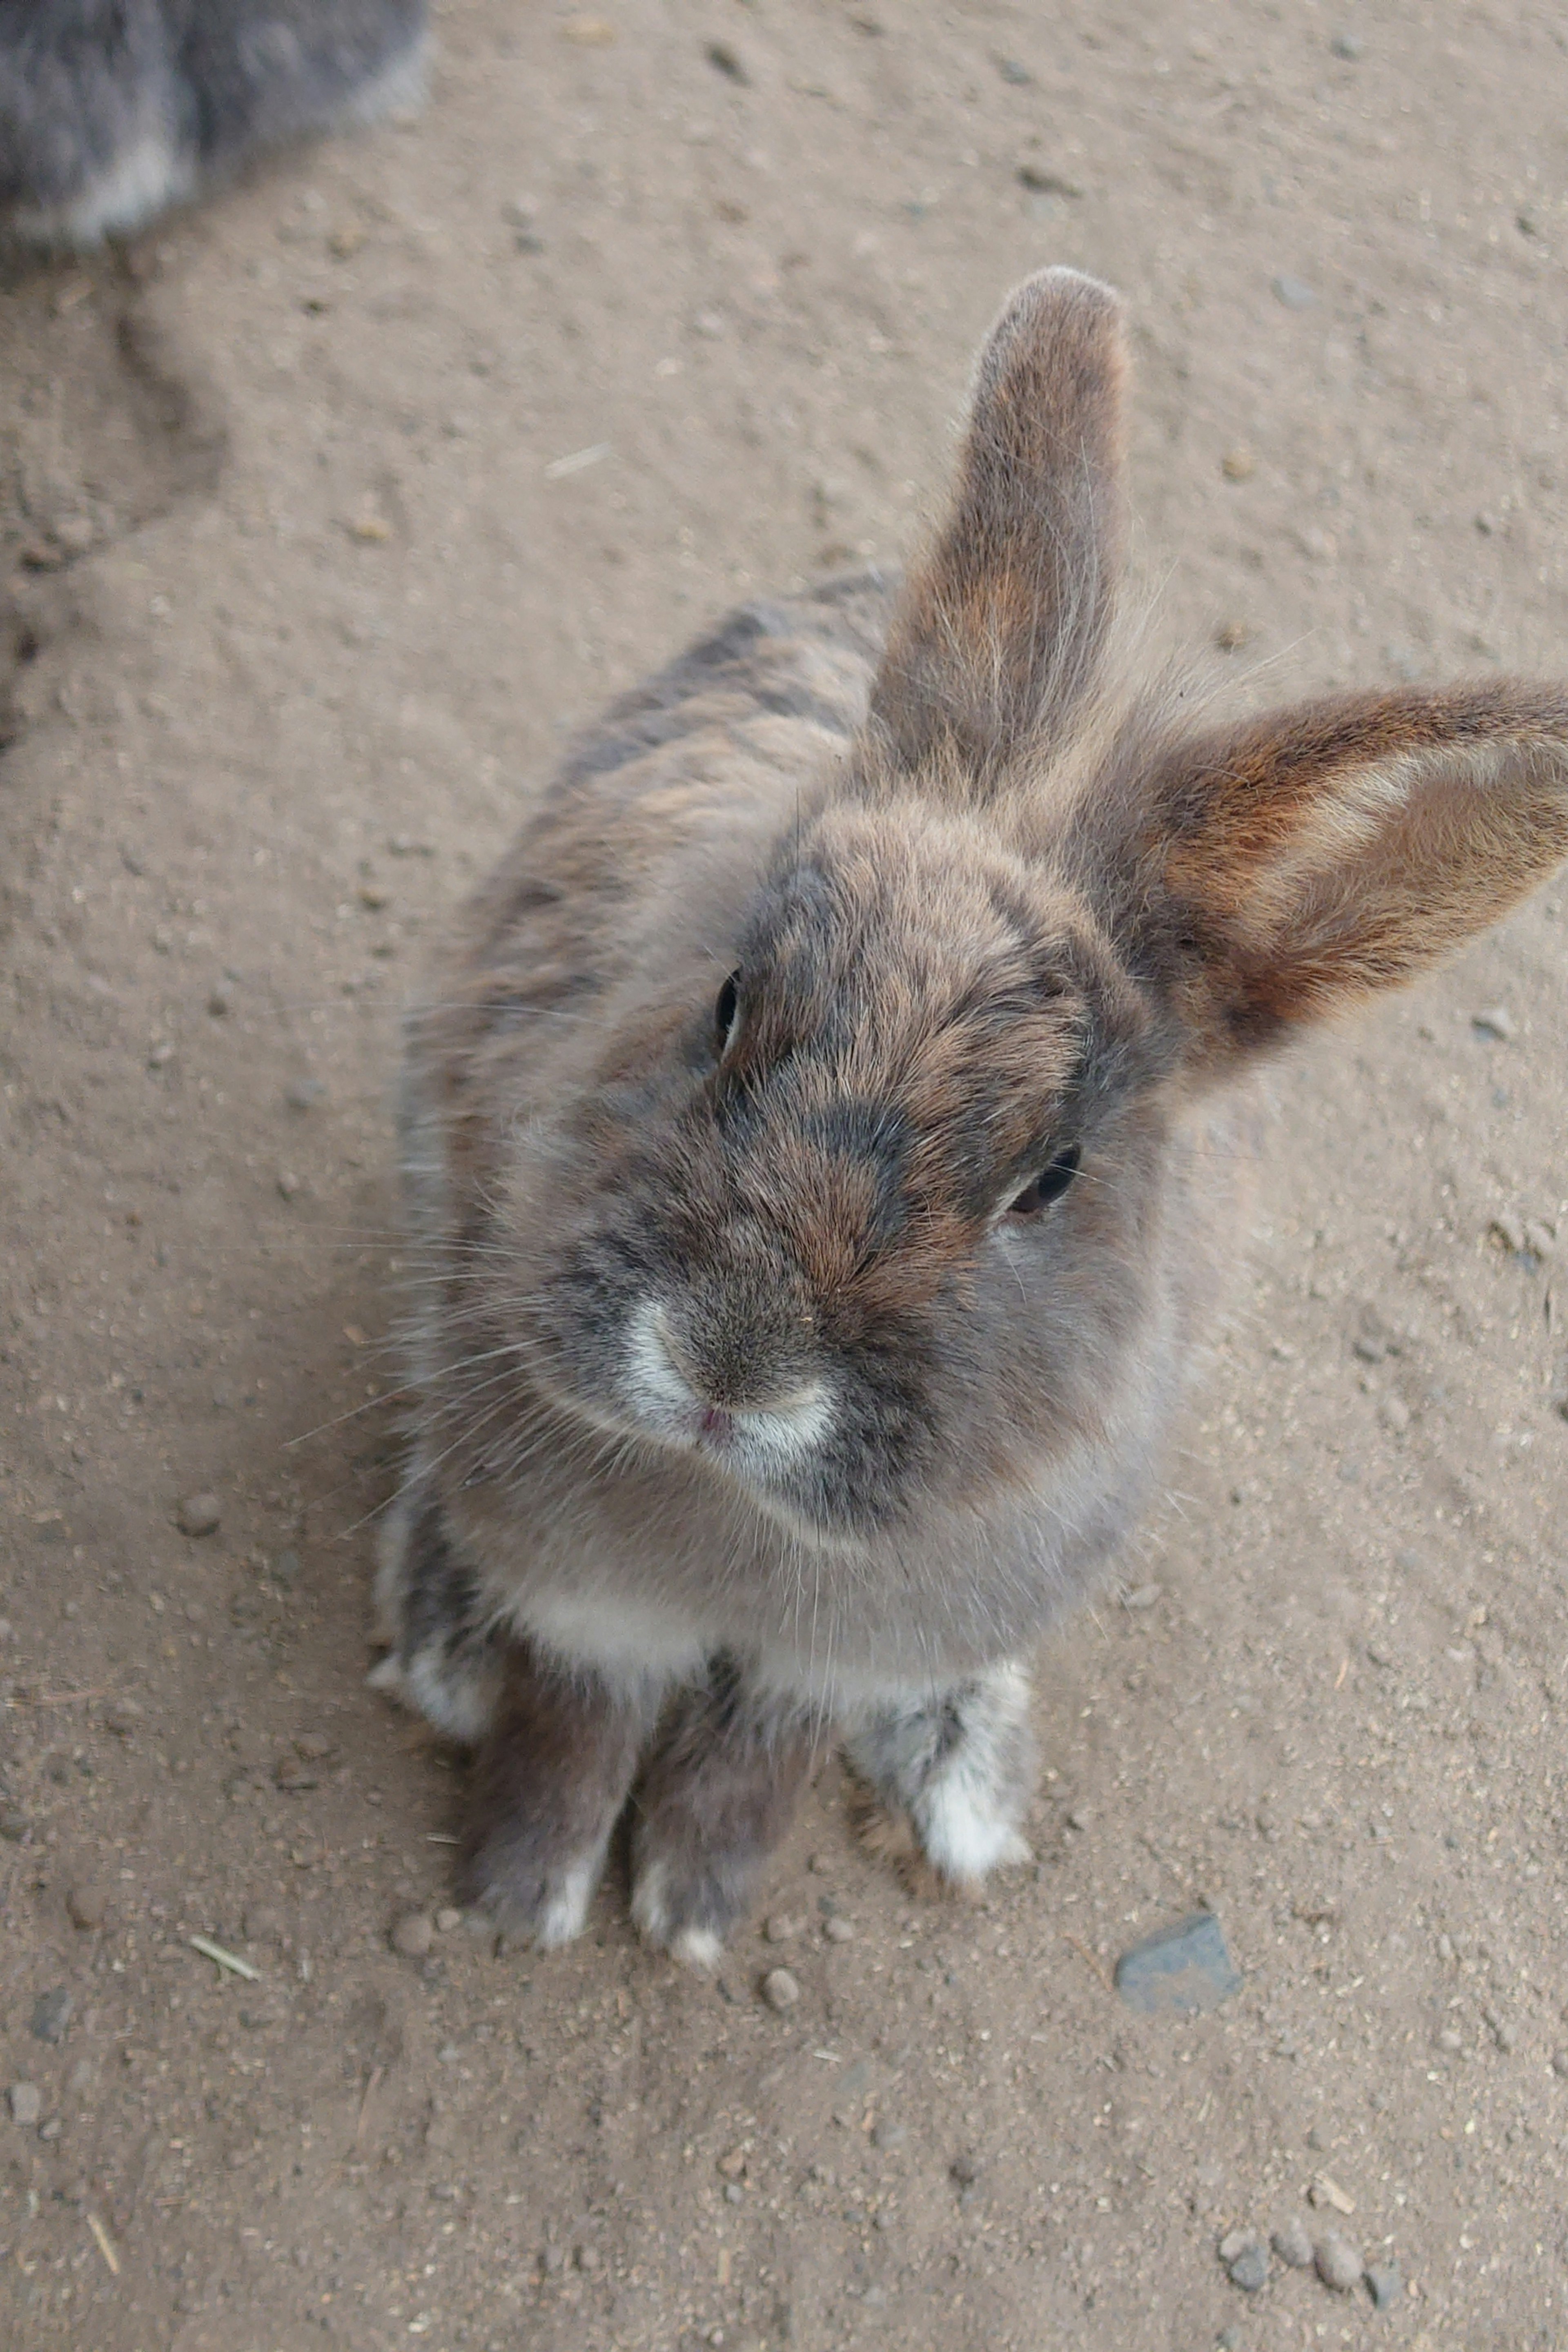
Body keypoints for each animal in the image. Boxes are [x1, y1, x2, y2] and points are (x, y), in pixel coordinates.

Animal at [371, 267, 1568, 1966]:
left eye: (1051, 1178)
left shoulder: (849, 1649)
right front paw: (526, 1894)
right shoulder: (583, 1594)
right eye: (727, 999)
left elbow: (757, 1755)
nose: (732, 1366)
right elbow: (576, 1722)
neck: (725, 1513)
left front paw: (691, 1909)